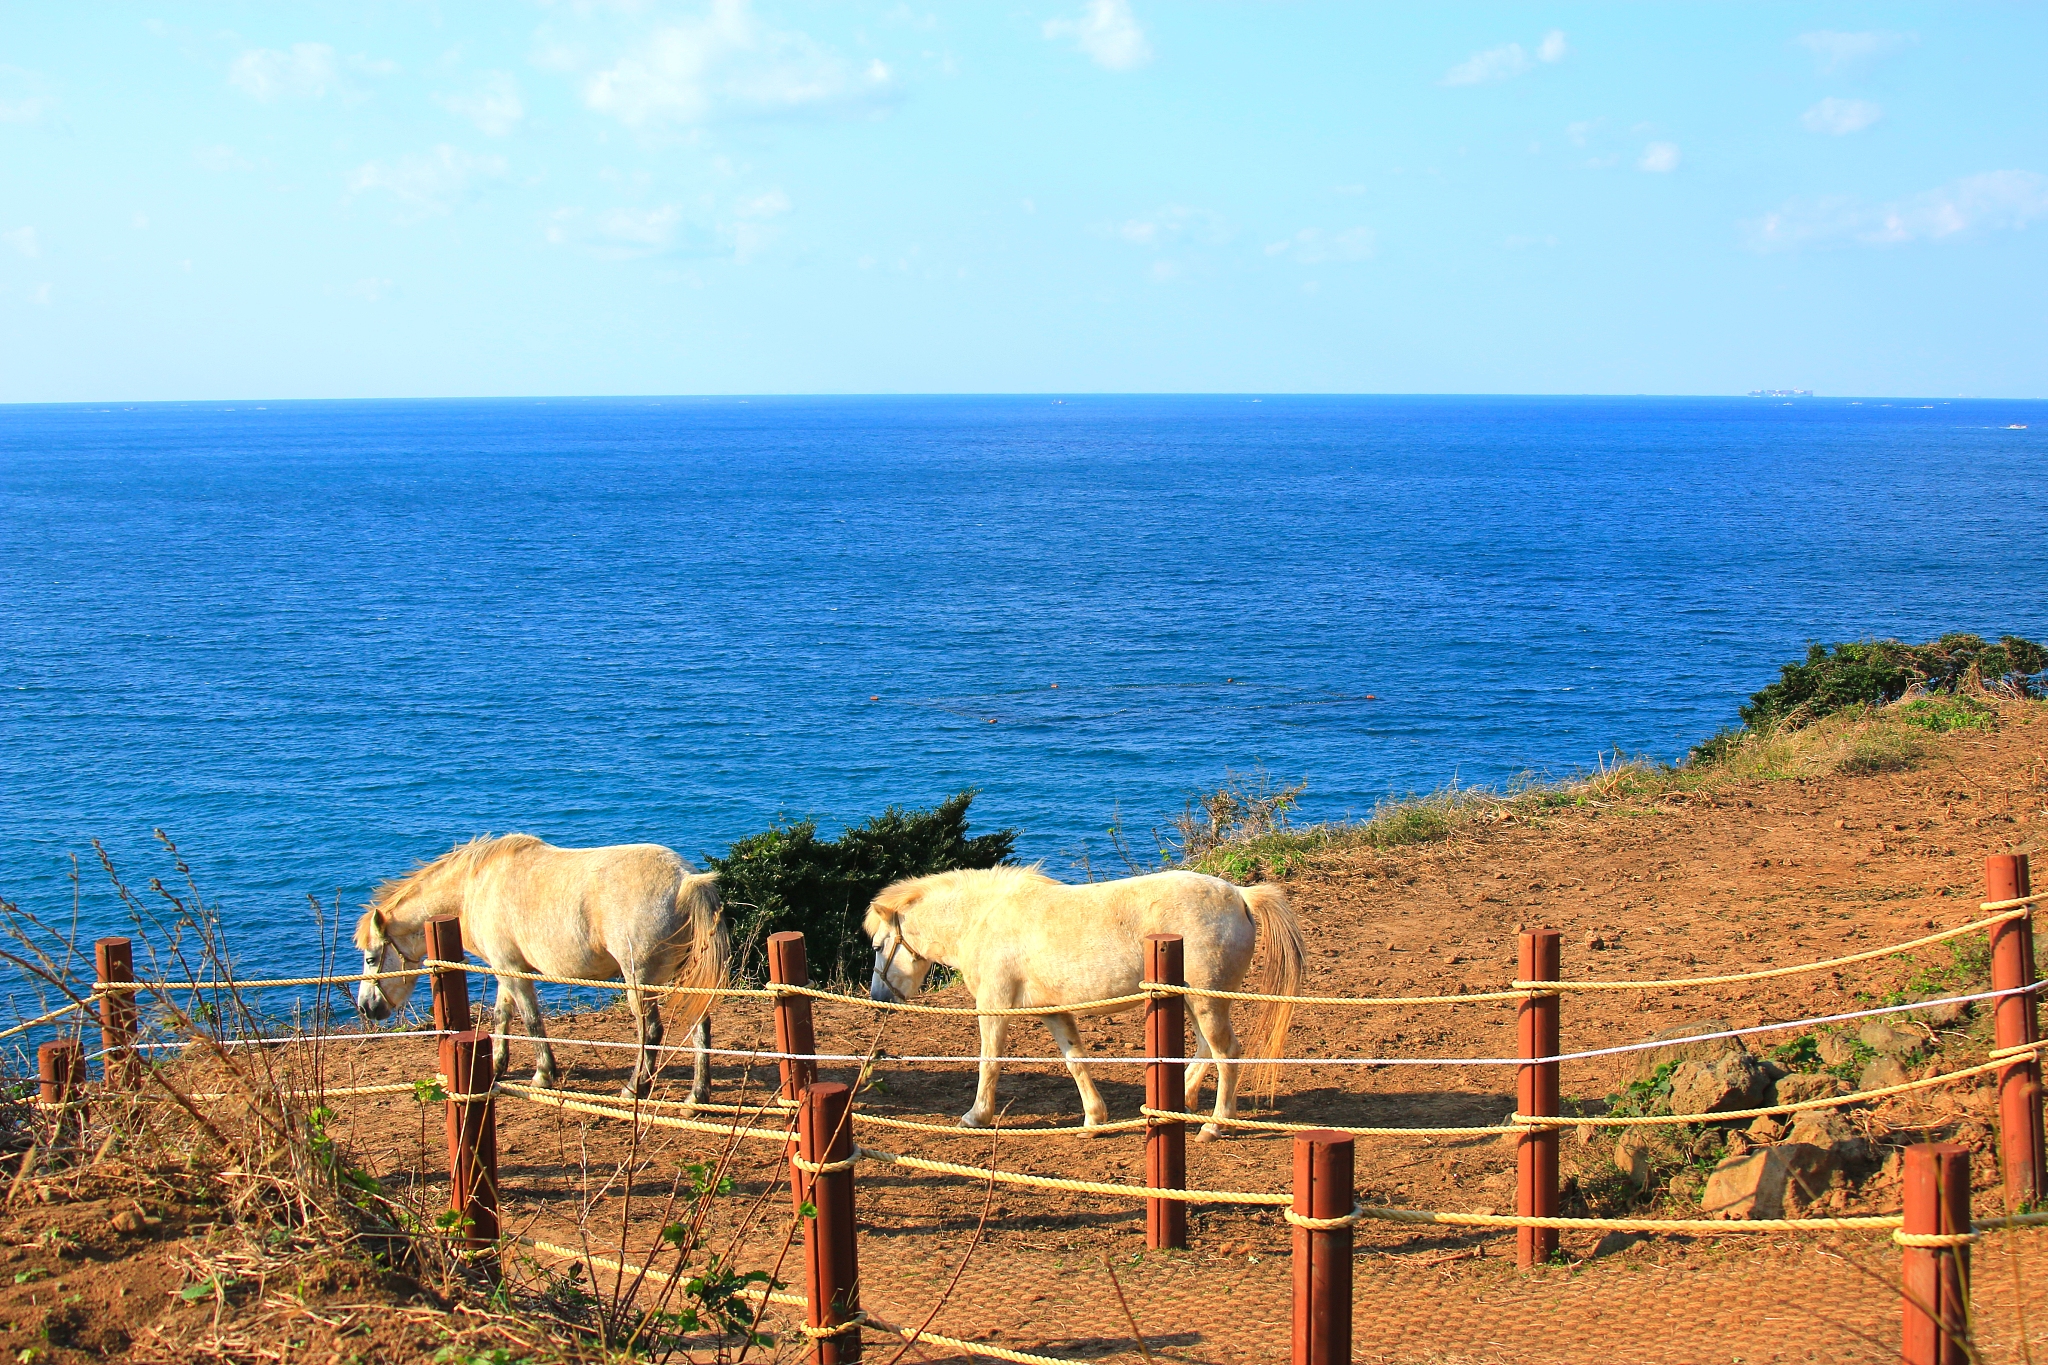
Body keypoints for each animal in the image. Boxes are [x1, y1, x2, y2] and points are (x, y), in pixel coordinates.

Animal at [353, 834, 729, 1101]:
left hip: (640, 980)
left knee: (650, 1031)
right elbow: (501, 1016)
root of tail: (685, 880)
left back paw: (634, 1088)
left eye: (371, 958)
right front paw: (497, 1066)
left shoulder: (512, 970)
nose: (367, 1007)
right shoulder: (507, 968)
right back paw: (697, 1095)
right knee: (700, 1023)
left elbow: (531, 1021)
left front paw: (543, 1074)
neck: (475, 886)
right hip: (685, 978)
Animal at [864, 866, 1304, 1138]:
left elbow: (990, 1061)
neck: (984, 920)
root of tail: (1241, 896)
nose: (879, 997)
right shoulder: (1054, 1012)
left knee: (1227, 1053)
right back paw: (1183, 1100)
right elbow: (1075, 1060)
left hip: (1205, 1001)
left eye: (879, 946)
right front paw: (1094, 1118)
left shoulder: (994, 1004)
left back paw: (1215, 1124)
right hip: (1192, 1000)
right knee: (1204, 1050)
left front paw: (977, 1115)